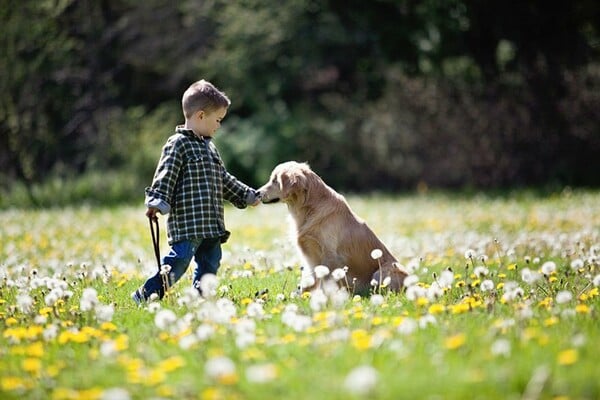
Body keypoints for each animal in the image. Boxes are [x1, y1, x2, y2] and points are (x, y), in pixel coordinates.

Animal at [258, 161, 408, 296]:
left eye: (275, 181)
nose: (258, 193)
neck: (308, 208)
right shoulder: (310, 256)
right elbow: (308, 280)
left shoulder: (329, 255)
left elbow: (325, 281)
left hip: (382, 272)